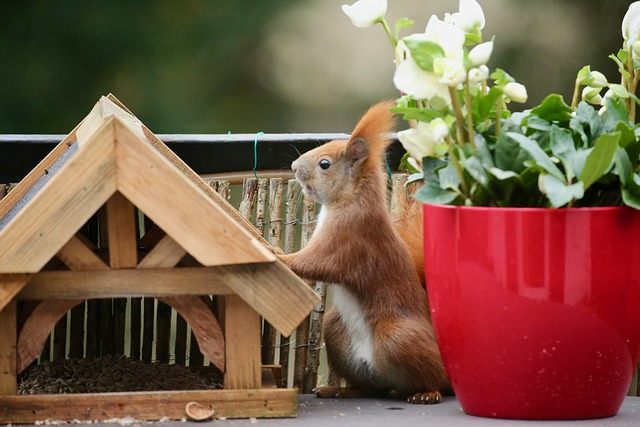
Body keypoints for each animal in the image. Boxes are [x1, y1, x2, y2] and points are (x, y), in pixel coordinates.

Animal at [280, 102, 450, 402]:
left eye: (325, 164)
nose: (294, 167)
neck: (351, 198)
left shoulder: (348, 239)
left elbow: (314, 263)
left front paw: (276, 253)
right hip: (337, 332)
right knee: (370, 388)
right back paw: (339, 389)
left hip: (397, 337)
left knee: (436, 379)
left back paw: (427, 393)